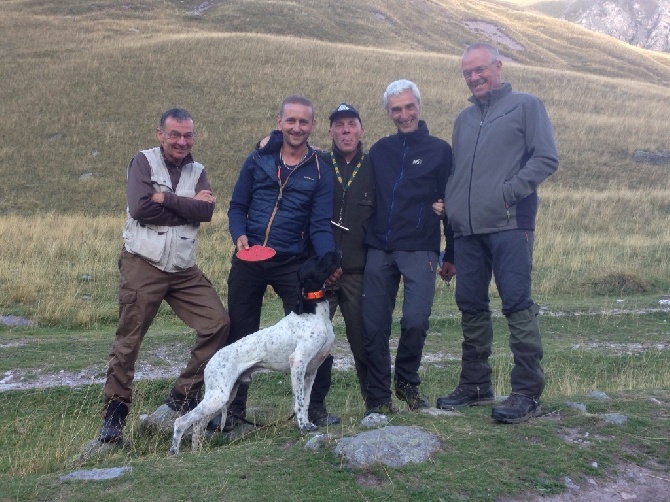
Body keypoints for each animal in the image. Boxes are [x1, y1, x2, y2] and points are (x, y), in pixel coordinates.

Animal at [171, 251, 344, 454]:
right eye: (317, 260)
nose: (337, 251)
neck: (313, 312)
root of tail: (211, 362)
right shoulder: (298, 364)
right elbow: (300, 403)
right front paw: (303, 426)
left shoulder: (310, 371)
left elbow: (306, 401)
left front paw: (307, 423)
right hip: (218, 397)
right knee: (181, 421)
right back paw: (175, 452)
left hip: (225, 395)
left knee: (198, 425)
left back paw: (197, 453)